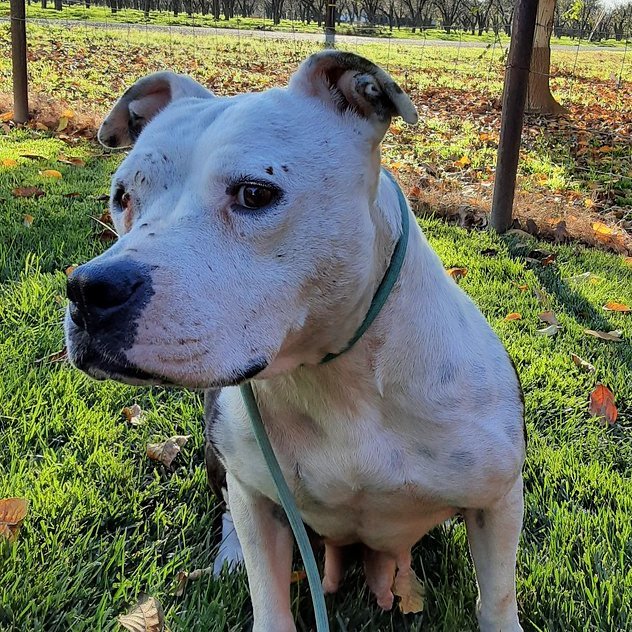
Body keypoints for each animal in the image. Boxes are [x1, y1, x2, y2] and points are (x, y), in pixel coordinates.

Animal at [66, 51, 524, 632]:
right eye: (123, 196)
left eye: (254, 193)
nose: (88, 290)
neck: (336, 377)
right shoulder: (259, 499)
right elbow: (268, 594)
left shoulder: (498, 502)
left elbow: (497, 601)